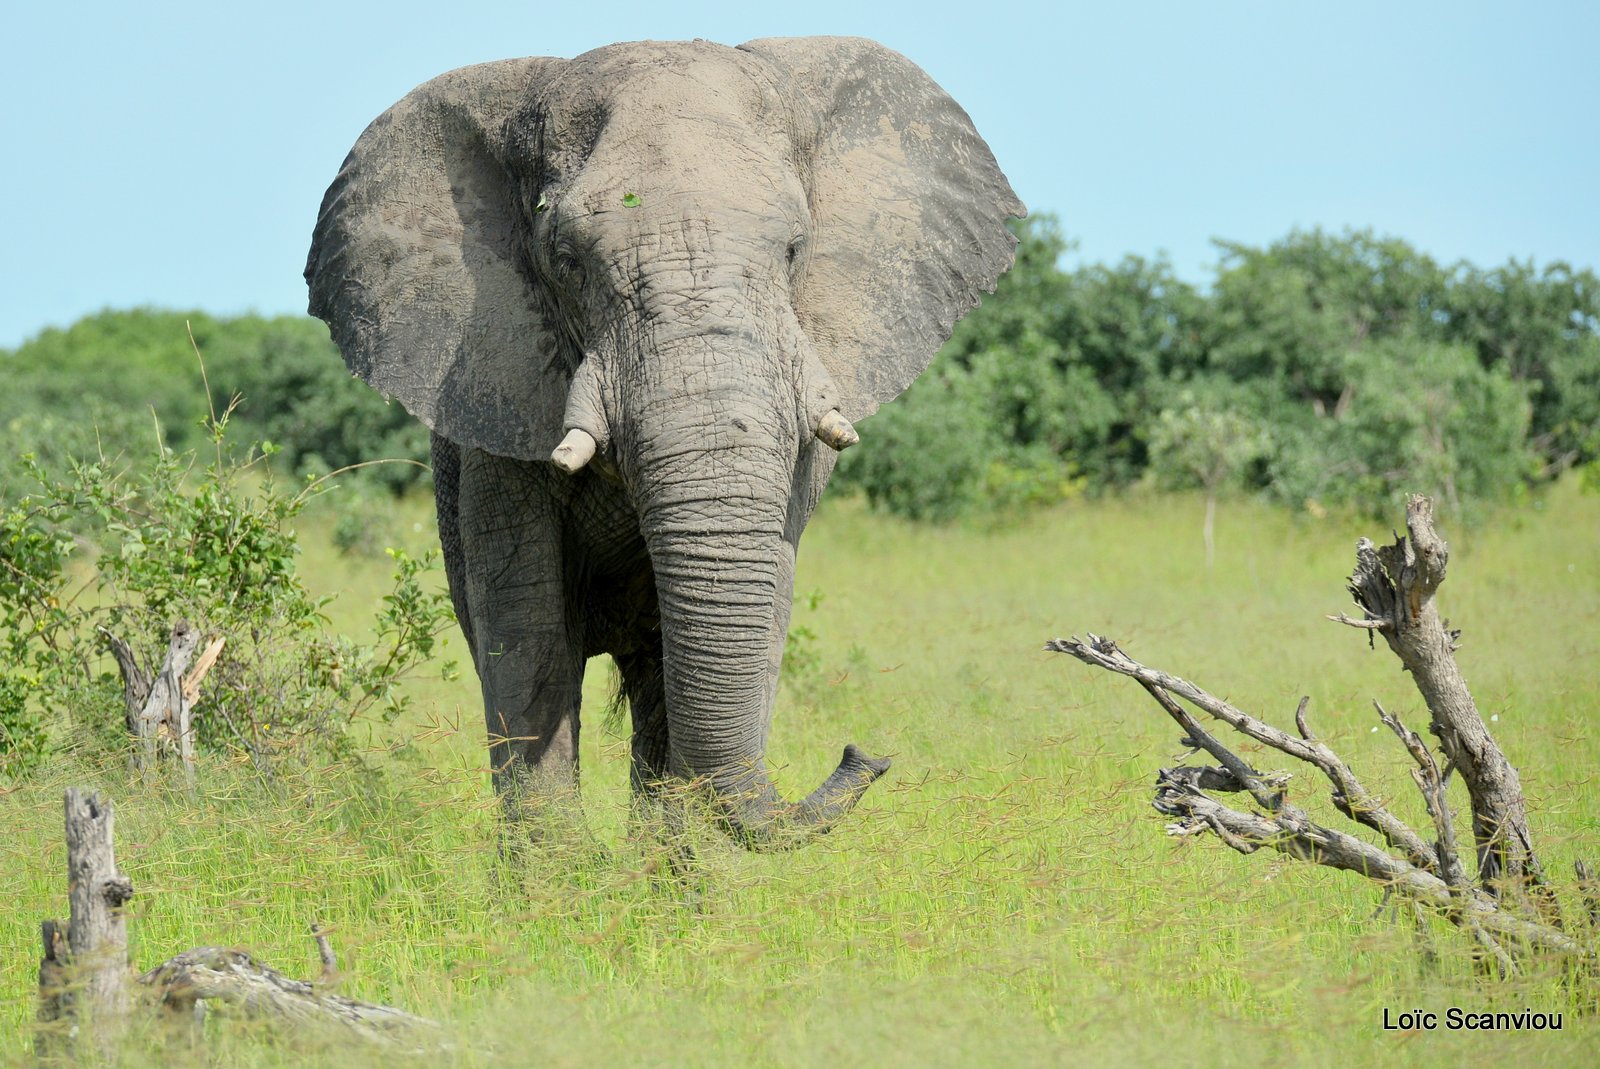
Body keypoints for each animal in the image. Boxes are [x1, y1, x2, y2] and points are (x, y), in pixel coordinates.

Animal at [302, 35, 1024, 851]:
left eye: (794, 249)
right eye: (567, 260)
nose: (865, 755)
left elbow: (759, 615)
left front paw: (678, 879)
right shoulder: (495, 392)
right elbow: (527, 626)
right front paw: (562, 879)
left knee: (656, 669)